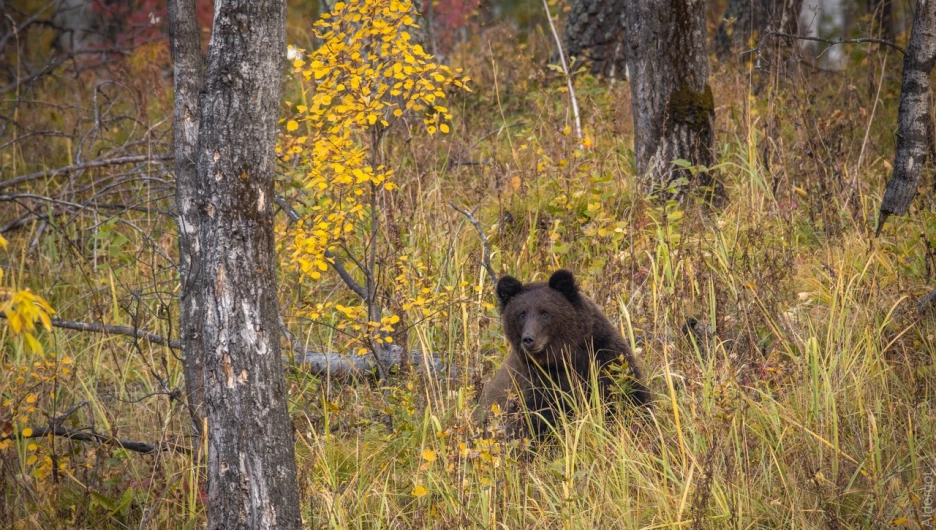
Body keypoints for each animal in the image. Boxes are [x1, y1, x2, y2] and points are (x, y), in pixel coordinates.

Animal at [476, 268, 652, 442]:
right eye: (521, 314)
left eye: (545, 312)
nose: (528, 339)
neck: (566, 357)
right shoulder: (536, 383)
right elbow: (541, 420)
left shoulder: (604, 356)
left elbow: (631, 394)